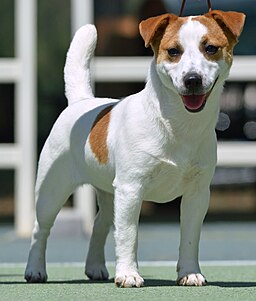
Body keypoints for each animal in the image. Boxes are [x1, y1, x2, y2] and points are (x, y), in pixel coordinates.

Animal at [25, 9, 245, 286]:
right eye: (173, 51)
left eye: (210, 48)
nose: (192, 79)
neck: (177, 123)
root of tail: (81, 102)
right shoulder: (131, 189)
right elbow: (128, 235)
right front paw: (128, 274)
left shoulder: (197, 194)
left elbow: (190, 238)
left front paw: (190, 273)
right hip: (53, 191)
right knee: (40, 229)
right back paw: (35, 270)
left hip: (110, 194)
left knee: (99, 225)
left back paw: (95, 267)